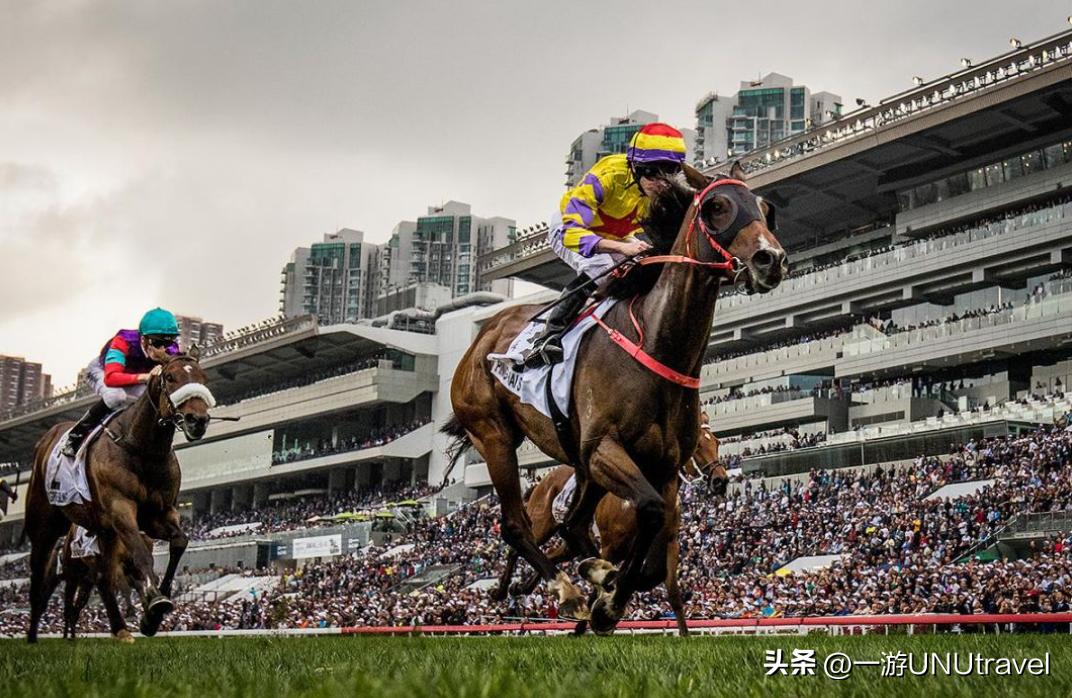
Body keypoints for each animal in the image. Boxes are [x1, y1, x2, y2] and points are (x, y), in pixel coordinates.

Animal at [24, 349, 213, 643]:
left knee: (102, 580)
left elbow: (180, 542)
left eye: (203, 378)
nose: (198, 420)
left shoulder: (159, 514)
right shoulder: (121, 508)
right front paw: (155, 604)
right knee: (40, 578)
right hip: (44, 525)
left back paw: (119, 628)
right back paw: (34, 636)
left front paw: (151, 618)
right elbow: (140, 554)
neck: (143, 448)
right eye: (170, 377)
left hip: (103, 532)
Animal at [492, 413, 722, 636]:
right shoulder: (610, 547)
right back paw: (503, 590)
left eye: (717, 442)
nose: (720, 479)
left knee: (551, 554)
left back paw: (523, 587)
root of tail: (540, 481)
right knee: (518, 546)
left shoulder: (669, 543)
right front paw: (588, 623)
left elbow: (670, 590)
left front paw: (684, 633)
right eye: (698, 446)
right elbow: (600, 585)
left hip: (570, 542)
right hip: (542, 523)